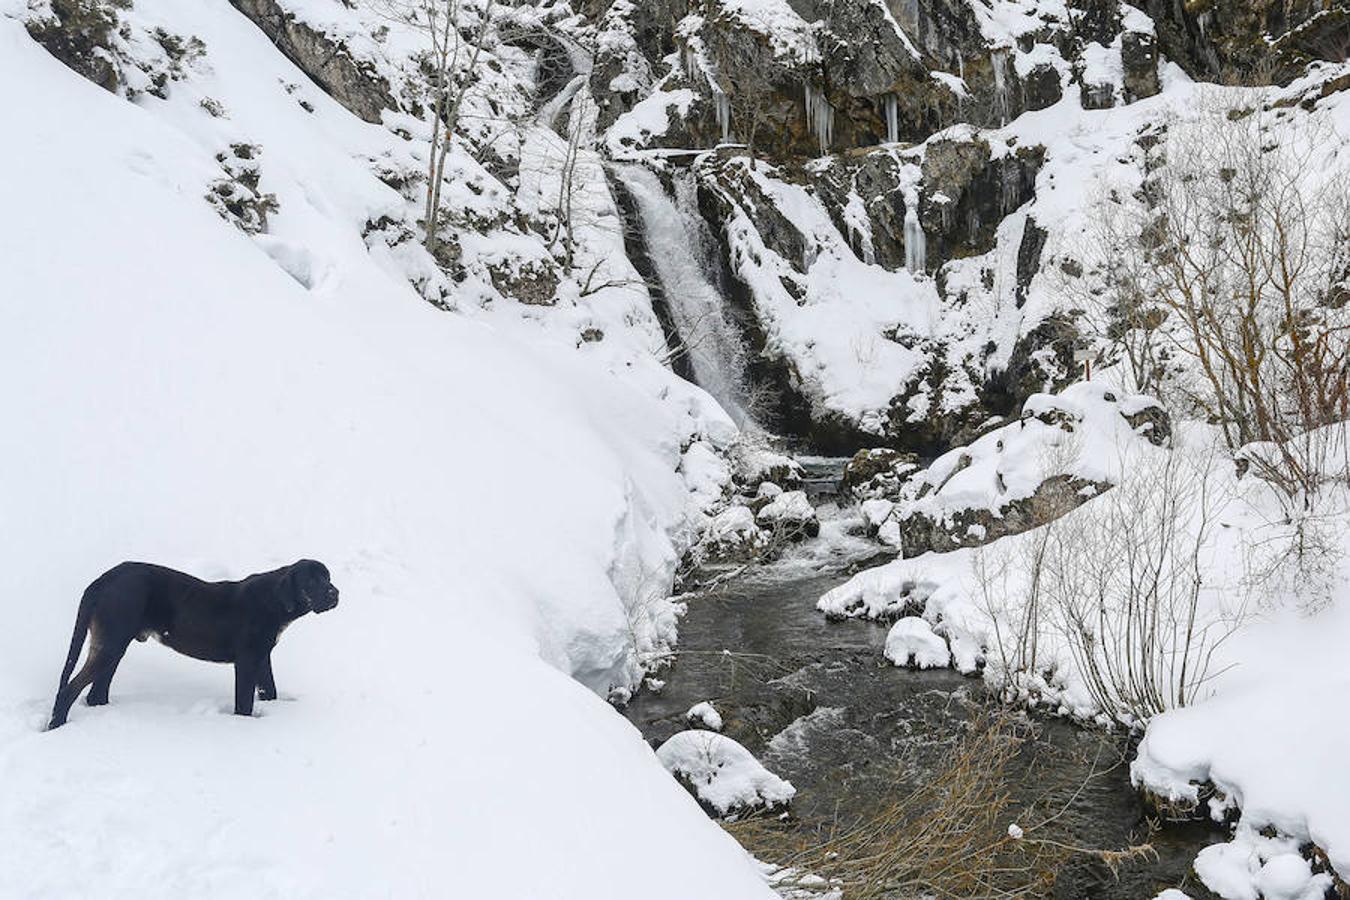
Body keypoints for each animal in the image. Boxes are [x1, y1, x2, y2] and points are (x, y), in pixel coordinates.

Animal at [49, 558, 340, 728]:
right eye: (311, 580)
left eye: (328, 577)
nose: (334, 593)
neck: (275, 601)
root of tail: (103, 579)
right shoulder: (246, 661)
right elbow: (244, 704)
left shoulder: (262, 657)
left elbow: (270, 690)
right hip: (110, 645)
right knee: (68, 690)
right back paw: (56, 726)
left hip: (114, 646)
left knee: (95, 693)